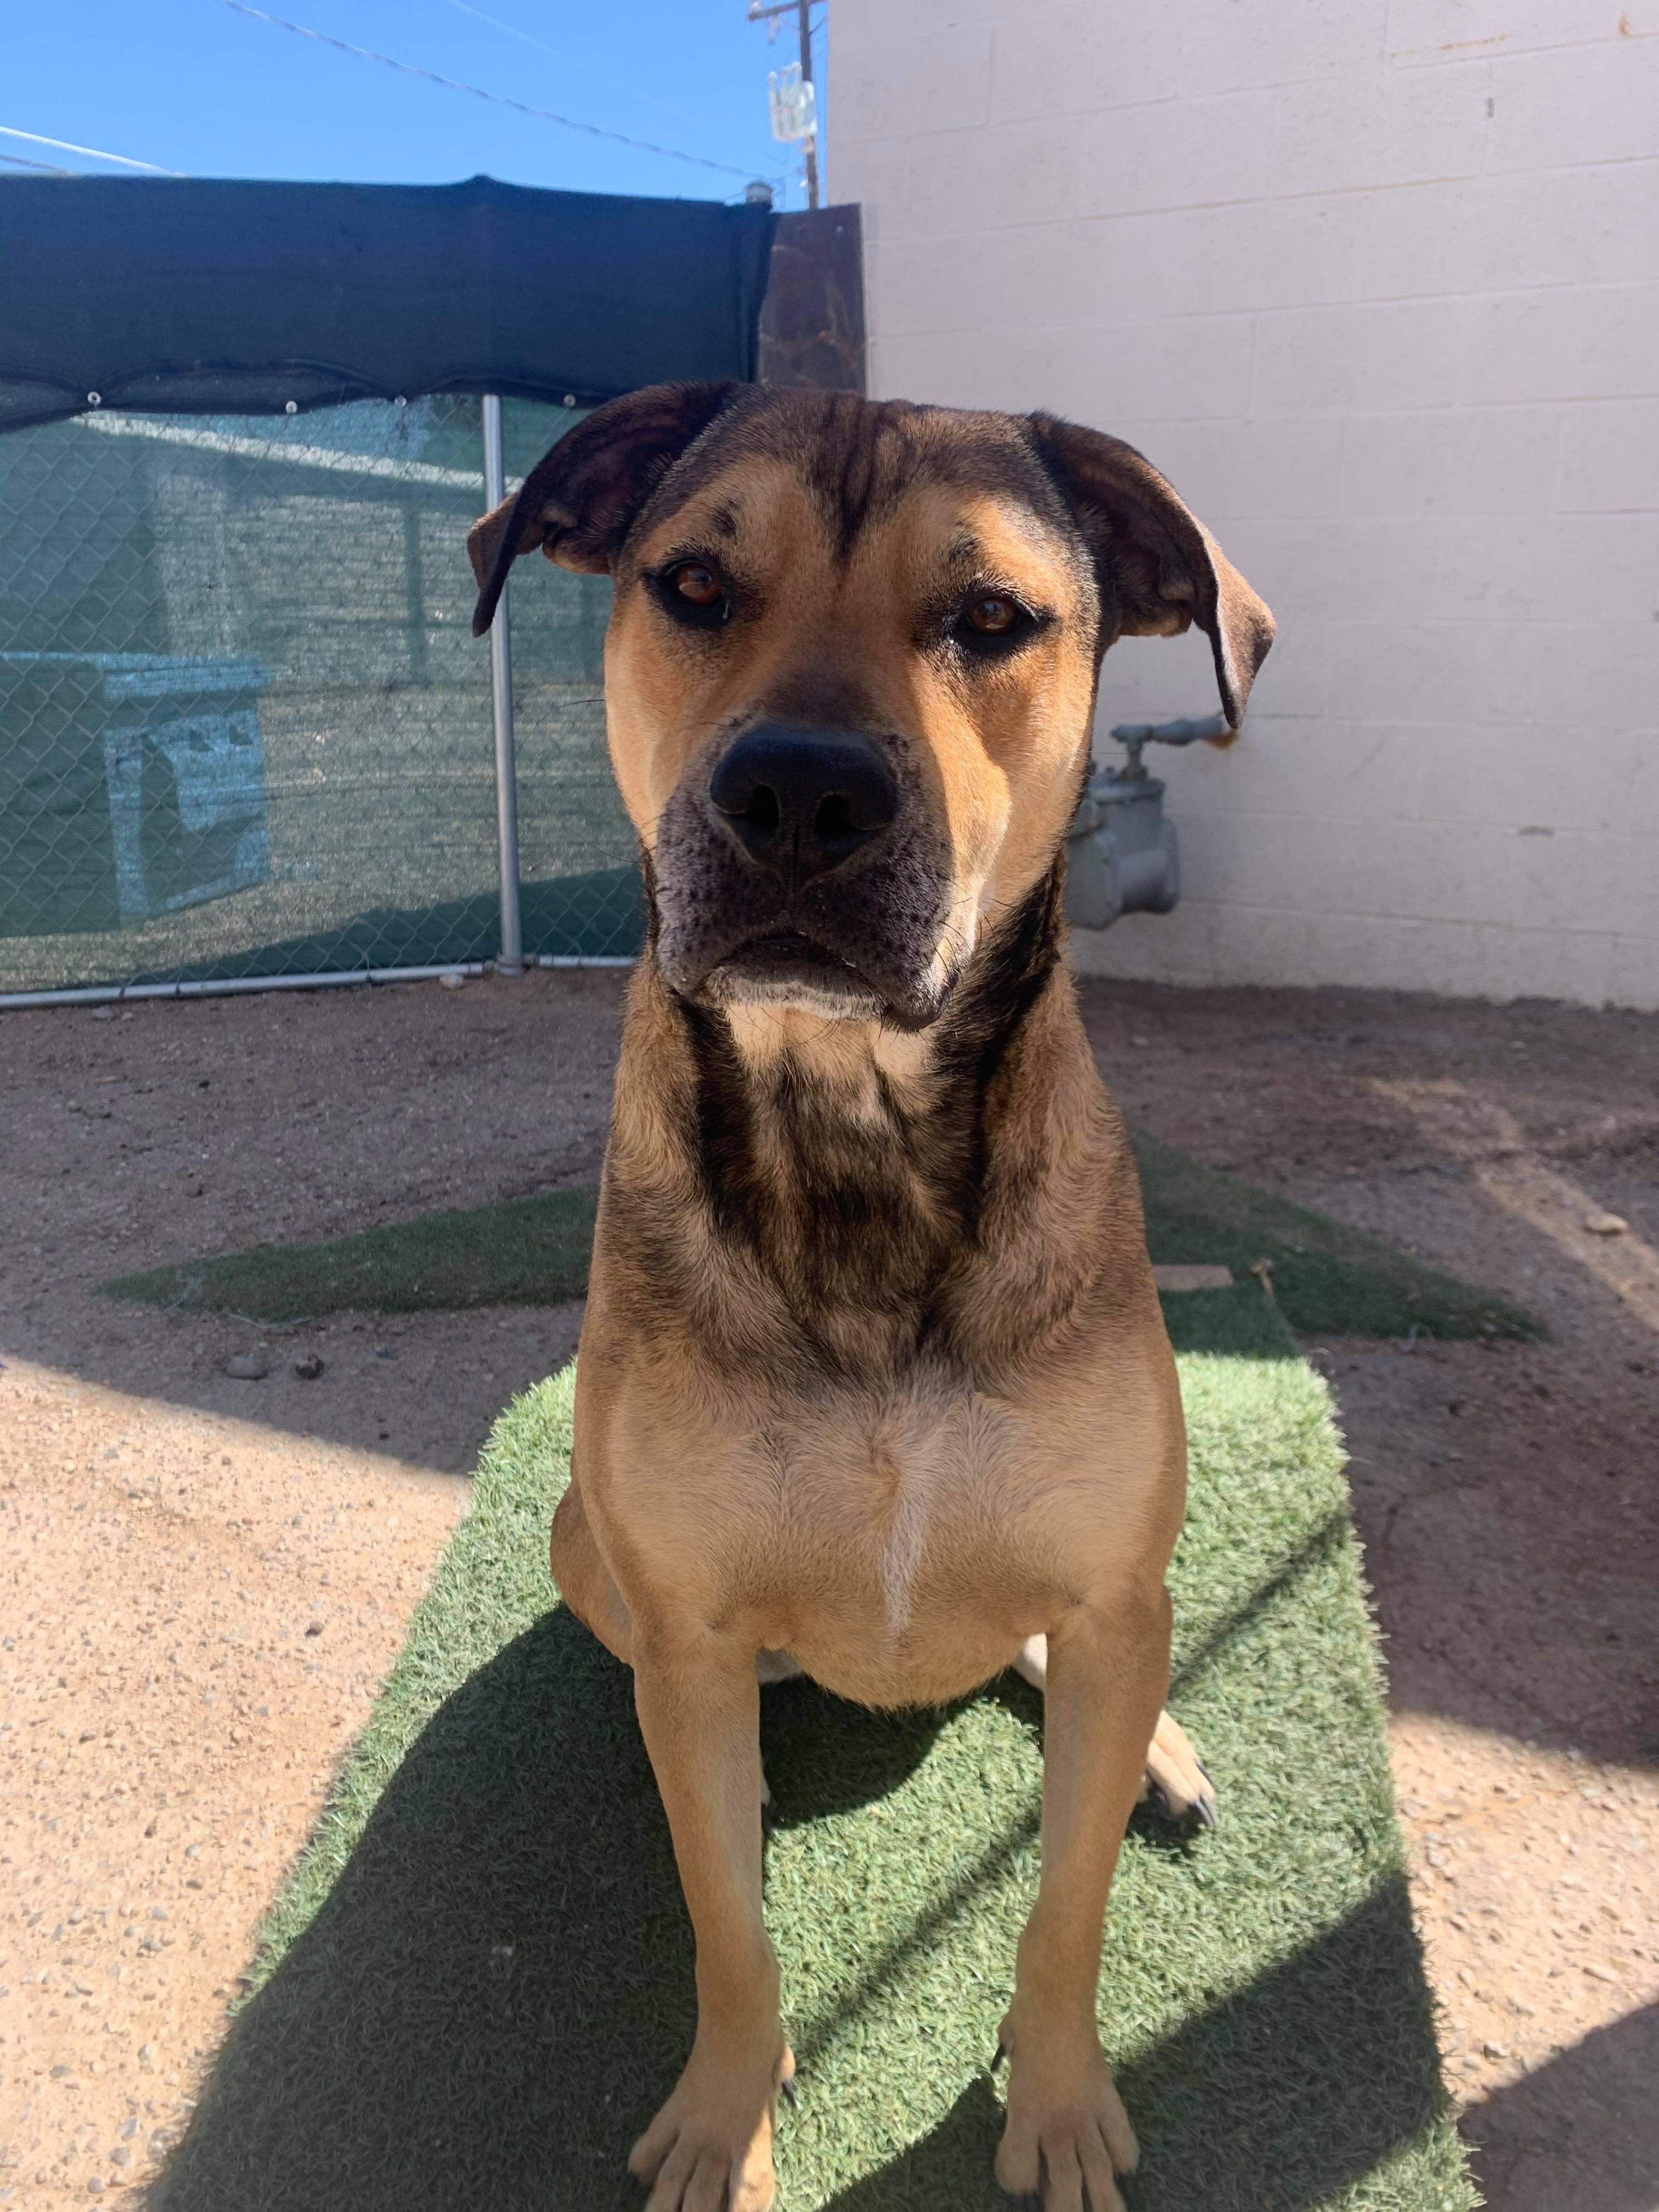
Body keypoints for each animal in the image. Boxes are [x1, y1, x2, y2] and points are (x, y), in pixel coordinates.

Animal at [473, 385, 1283, 2212]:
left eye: (990, 617)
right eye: (696, 584)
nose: (799, 793)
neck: (857, 1134)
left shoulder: (1110, 1583)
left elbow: (1064, 1914)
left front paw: (1061, 2107)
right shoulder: (692, 1620)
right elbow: (730, 1936)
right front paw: (725, 2121)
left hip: (1121, 1604)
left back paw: (1158, 1755)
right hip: (580, 1543)